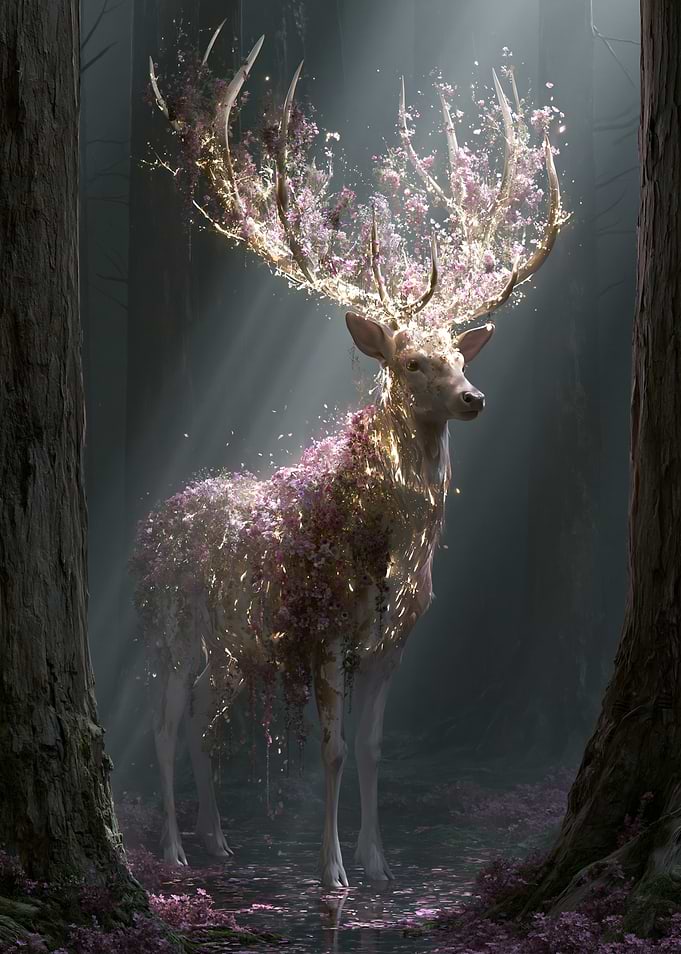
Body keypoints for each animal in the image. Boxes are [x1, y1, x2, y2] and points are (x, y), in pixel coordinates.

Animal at [133, 27, 563, 888]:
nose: (475, 398)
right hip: (172, 622)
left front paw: (377, 860)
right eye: (410, 362)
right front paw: (331, 872)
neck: (390, 552)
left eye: (459, 357)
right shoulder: (324, 627)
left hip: (230, 637)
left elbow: (369, 748)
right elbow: (329, 751)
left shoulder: (394, 642)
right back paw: (172, 850)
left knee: (199, 720)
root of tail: (163, 518)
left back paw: (218, 838)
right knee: (163, 724)